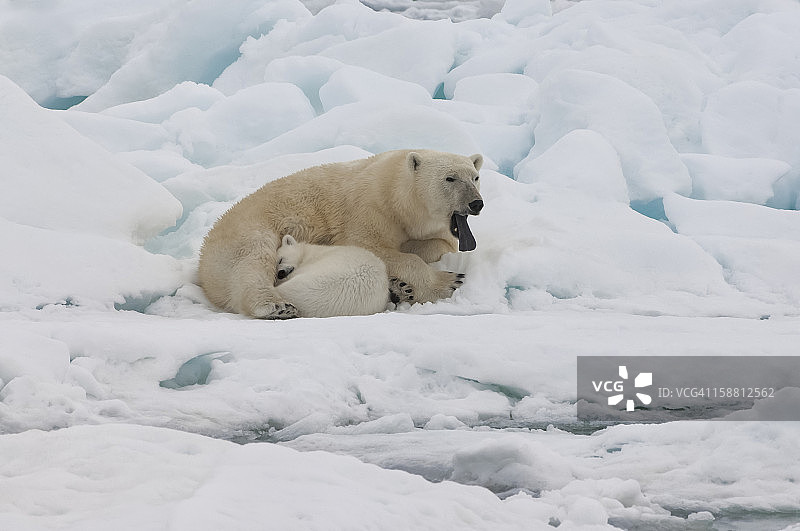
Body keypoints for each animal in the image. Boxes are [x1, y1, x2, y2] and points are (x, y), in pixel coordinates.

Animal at [198, 149, 484, 319]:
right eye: (450, 178)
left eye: (475, 176)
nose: (476, 203)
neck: (395, 193)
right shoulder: (369, 208)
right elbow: (370, 246)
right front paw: (449, 280)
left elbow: (441, 244)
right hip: (245, 233)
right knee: (252, 261)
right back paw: (275, 306)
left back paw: (399, 288)